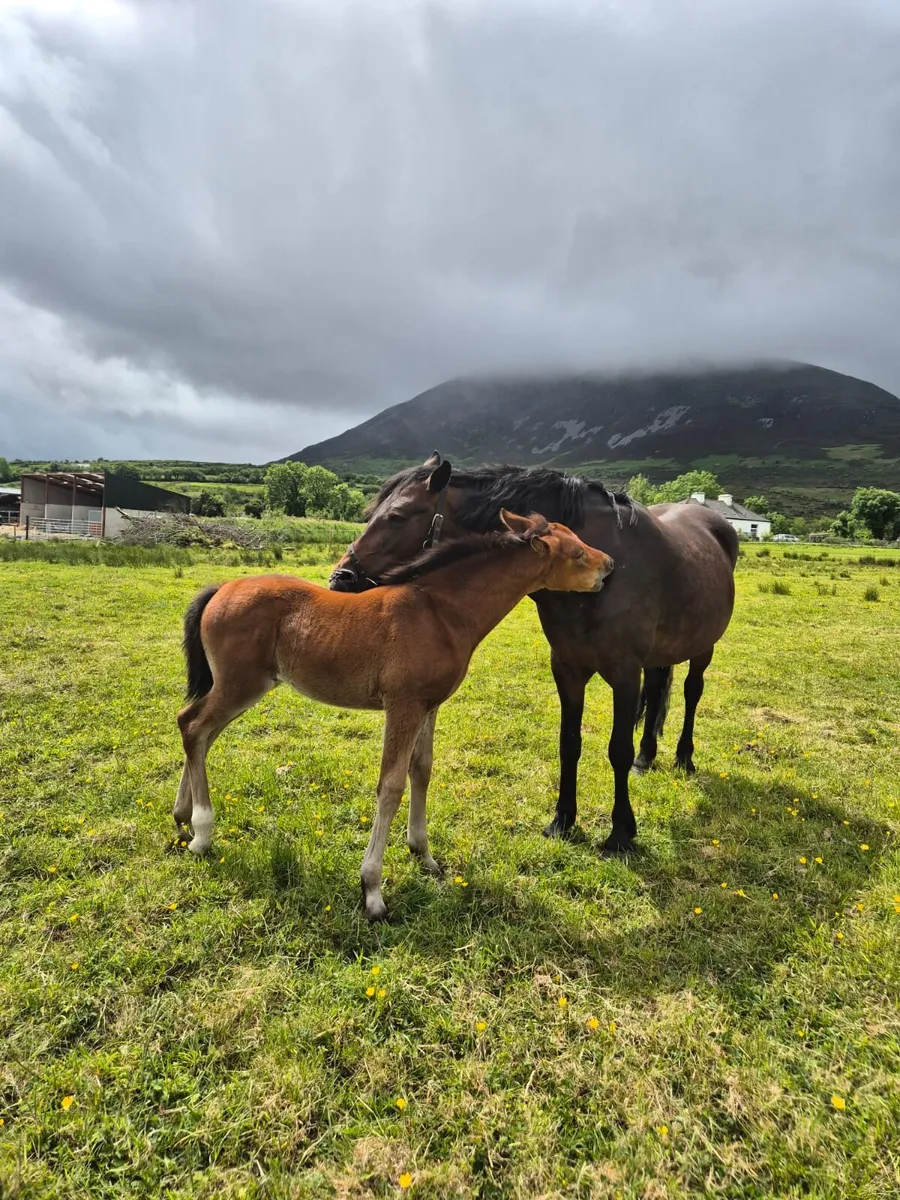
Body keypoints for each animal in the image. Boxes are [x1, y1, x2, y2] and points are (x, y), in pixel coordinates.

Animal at [174, 509, 613, 920]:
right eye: (576, 553)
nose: (609, 565)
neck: (441, 612)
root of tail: (220, 589)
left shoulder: (428, 705)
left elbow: (422, 770)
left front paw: (423, 853)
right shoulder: (403, 705)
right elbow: (391, 786)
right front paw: (372, 890)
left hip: (241, 688)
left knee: (199, 733)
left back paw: (182, 819)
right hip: (241, 685)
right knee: (192, 724)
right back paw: (202, 833)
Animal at [330, 453, 738, 853]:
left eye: (397, 516)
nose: (340, 579)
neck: (606, 577)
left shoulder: (624, 673)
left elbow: (617, 749)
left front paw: (621, 833)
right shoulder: (567, 668)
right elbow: (569, 743)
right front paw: (563, 820)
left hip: (703, 648)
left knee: (692, 693)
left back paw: (684, 757)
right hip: (656, 658)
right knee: (655, 695)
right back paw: (646, 757)